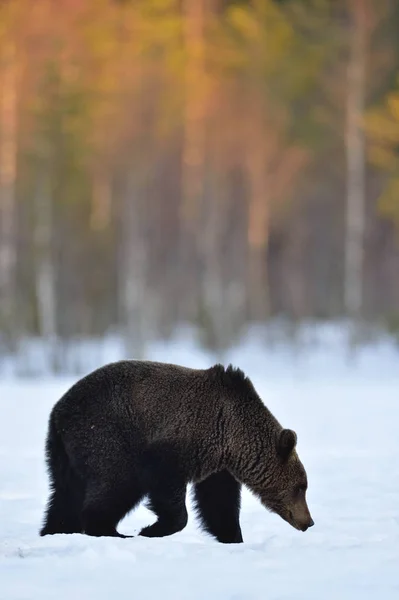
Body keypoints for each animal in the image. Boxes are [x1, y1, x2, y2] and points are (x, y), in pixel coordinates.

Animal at [40, 360, 316, 544]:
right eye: (301, 486)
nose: (309, 522)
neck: (232, 436)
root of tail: (58, 413)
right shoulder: (173, 445)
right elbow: (170, 493)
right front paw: (150, 529)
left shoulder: (217, 466)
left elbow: (219, 502)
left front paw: (232, 536)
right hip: (107, 437)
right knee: (115, 485)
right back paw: (112, 531)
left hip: (65, 453)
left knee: (65, 496)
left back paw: (54, 530)